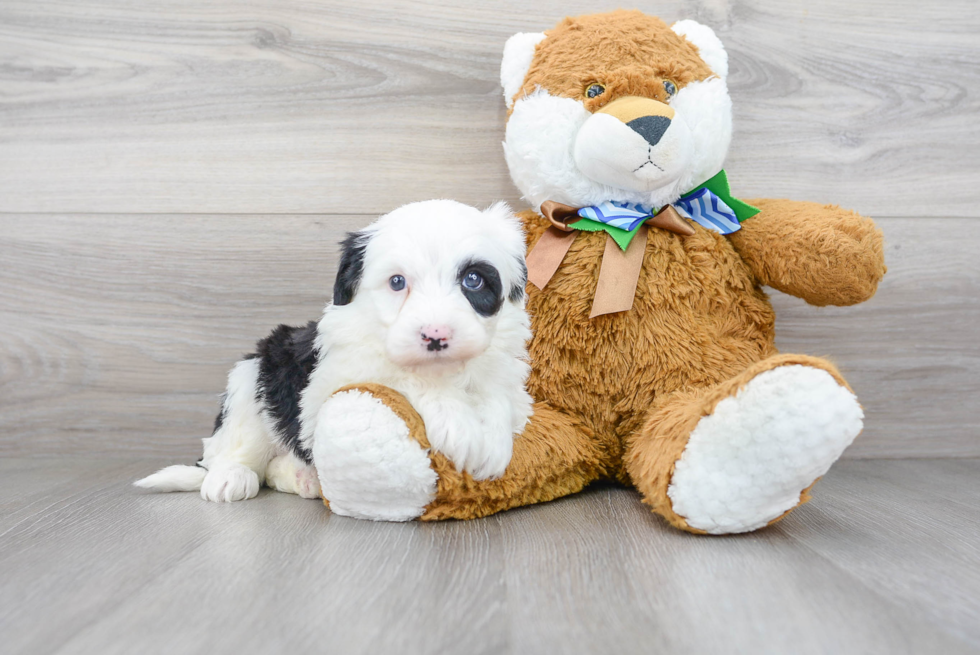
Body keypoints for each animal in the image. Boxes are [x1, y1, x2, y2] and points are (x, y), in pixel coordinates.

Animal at [135, 200, 532, 502]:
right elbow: (401, 377)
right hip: (253, 378)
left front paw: (494, 443)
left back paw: (304, 478)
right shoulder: (327, 385)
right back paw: (231, 477)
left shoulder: (504, 375)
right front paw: (459, 427)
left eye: (473, 280)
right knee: (232, 448)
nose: (436, 335)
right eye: (397, 282)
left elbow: (497, 396)